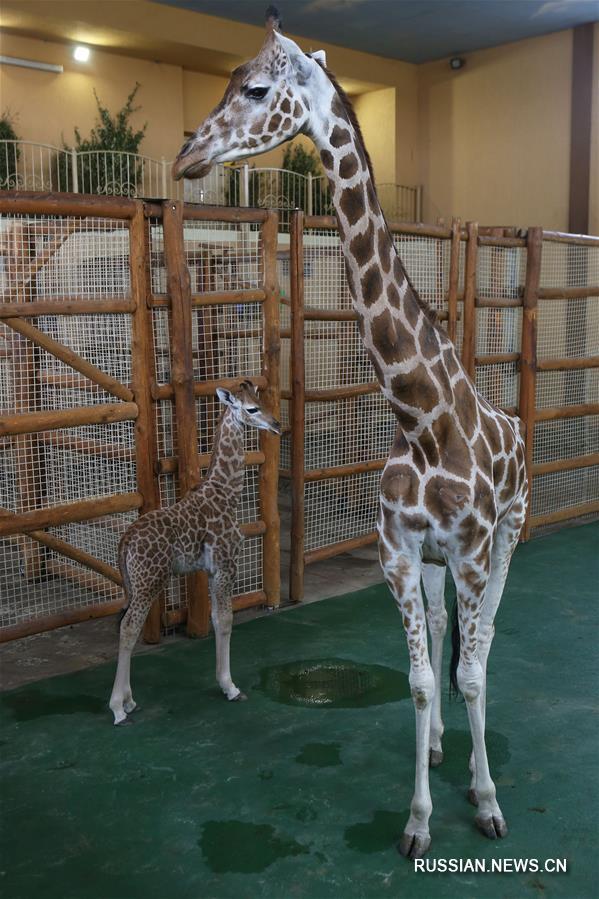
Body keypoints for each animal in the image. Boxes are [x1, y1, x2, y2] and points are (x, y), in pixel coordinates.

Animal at [108, 380, 282, 724]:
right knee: (129, 627)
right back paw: (118, 708)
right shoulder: (226, 564)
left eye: (263, 401)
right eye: (252, 408)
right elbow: (226, 619)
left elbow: (216, 618)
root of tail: (125, 543)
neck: (226, 492)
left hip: (133, 585)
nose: (276, 425)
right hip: (149, 581)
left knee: (126, 623)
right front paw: (230, 687)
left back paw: (129, 700)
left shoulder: (211, 570)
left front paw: (225, 683)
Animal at [172, 8, 524, 864]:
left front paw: (486, 801)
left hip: (511, 532)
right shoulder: (399, 548)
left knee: (486, 635)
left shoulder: (473, 545)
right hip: (435, 560)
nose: (186, 155)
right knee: (448, 631)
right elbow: (423, 677)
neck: (421, 416)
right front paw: (418, 818)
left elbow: (470, 668)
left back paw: (475, 761)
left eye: (254, 89)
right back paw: (441, 744)